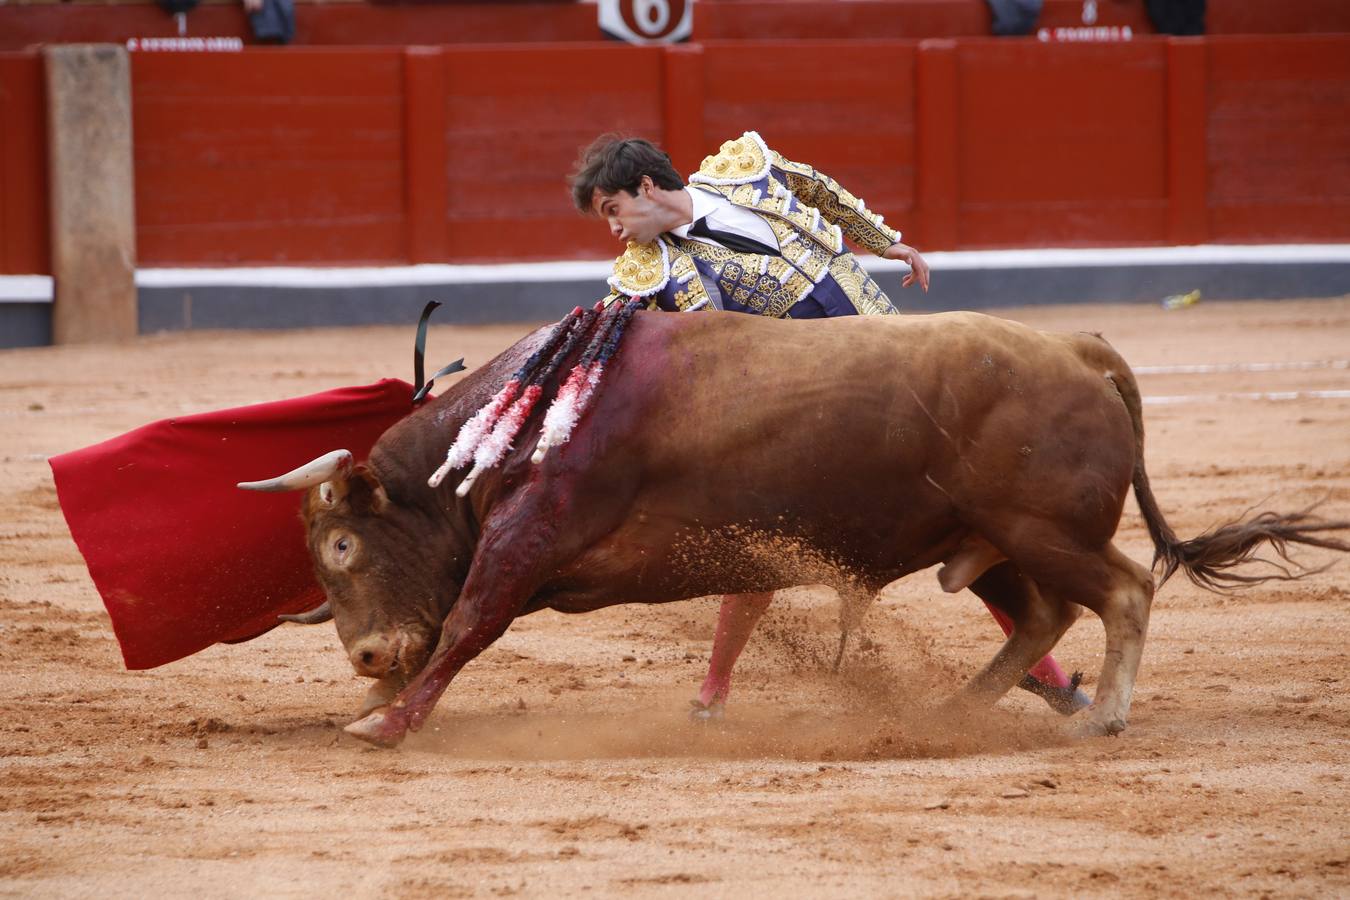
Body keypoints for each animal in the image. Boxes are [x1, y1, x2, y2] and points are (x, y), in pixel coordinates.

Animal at [237, 313, 1344, 750]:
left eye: (341, 549)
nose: (364, 654)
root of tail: (1082, 347)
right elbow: (456, 631)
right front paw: (384, 703)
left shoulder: (530, 538)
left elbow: (468, 623)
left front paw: (383, 723)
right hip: (984, 538)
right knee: (1042, 616)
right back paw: (947, 712)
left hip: (1039, 527)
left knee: (1122, 590)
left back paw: (1102, 716)